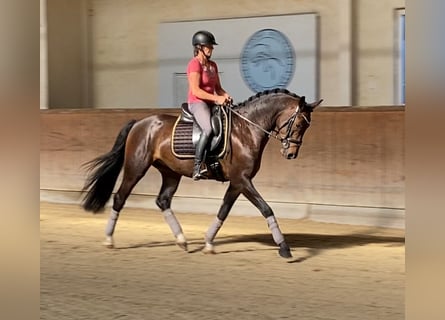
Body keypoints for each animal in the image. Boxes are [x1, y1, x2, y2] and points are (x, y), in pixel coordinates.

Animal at [81, 89, 320, 258]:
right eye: (299, 123)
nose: (291, 154)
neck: (247, 130)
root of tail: (139, 123)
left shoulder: (237, 182)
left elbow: (223, 210)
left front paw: (208, 242)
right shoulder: (242, 180)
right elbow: (266, 208)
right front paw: (284, 247)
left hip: (171, 173)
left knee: (163, 200)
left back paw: (182, 240)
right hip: (135, 168)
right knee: (120, 197)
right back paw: (109, 240)